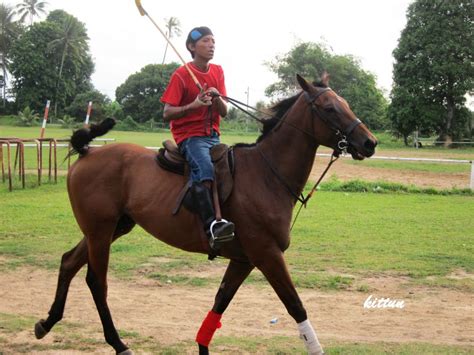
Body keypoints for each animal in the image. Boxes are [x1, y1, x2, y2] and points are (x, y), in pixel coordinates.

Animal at [35, 73, 378, 354]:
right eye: (329, 108)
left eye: (345, 103)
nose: (369, 142)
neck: (266, 174)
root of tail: (87, 152)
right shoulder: (267, 254)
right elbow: (296, 306)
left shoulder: (244, 259)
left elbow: (220, 303)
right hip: (100, 231)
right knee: (96, 280)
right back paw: (118, 343)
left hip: (113, 227)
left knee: (69, 262)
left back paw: (47, 322)